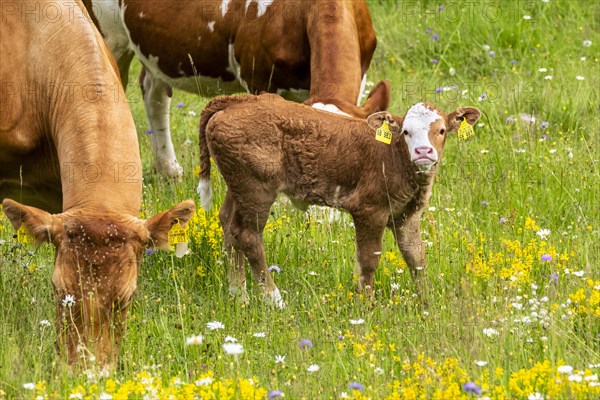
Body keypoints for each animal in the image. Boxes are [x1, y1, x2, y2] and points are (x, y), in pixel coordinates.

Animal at [199, 94, 480, 306]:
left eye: (441, 130)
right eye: (406, 132)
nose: (424, 152)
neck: (392, 155)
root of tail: (238, 100)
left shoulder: (407, 215)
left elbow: (416, 257)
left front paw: (426, 302)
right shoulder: (369, 209)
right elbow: (368, 259)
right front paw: (367, 304)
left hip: (238, 187)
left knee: (228, 225)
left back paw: (239, 295)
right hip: (256, 188)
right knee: (248, 236)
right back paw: (274, 299)